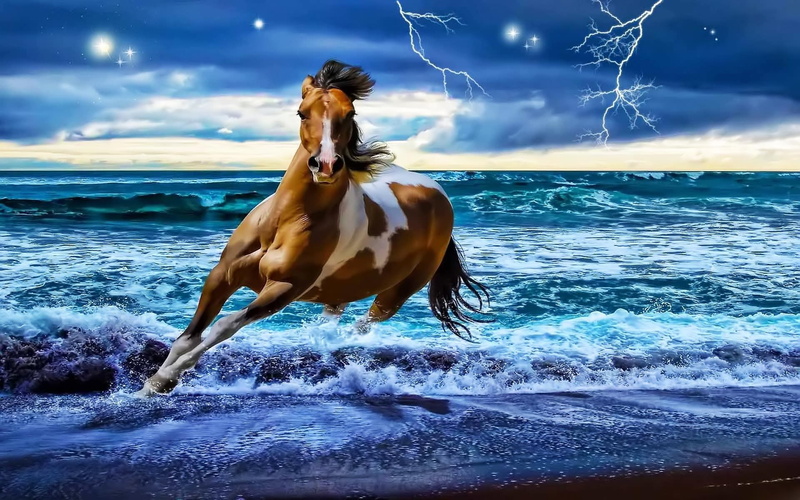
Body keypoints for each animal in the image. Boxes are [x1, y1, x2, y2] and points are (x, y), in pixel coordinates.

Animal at [138, 60, 490, 396]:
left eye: (350, 113)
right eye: (302, 112)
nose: (326, 165)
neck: (285, 222)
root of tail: (438, 194)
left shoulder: (284, 288)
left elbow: (224, 325)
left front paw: (163, 381)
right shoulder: (222, 274)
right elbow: (188, 336)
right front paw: (147, 386)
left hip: (398, 291)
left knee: (364, 323)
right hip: (343, 288)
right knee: (335, 314)